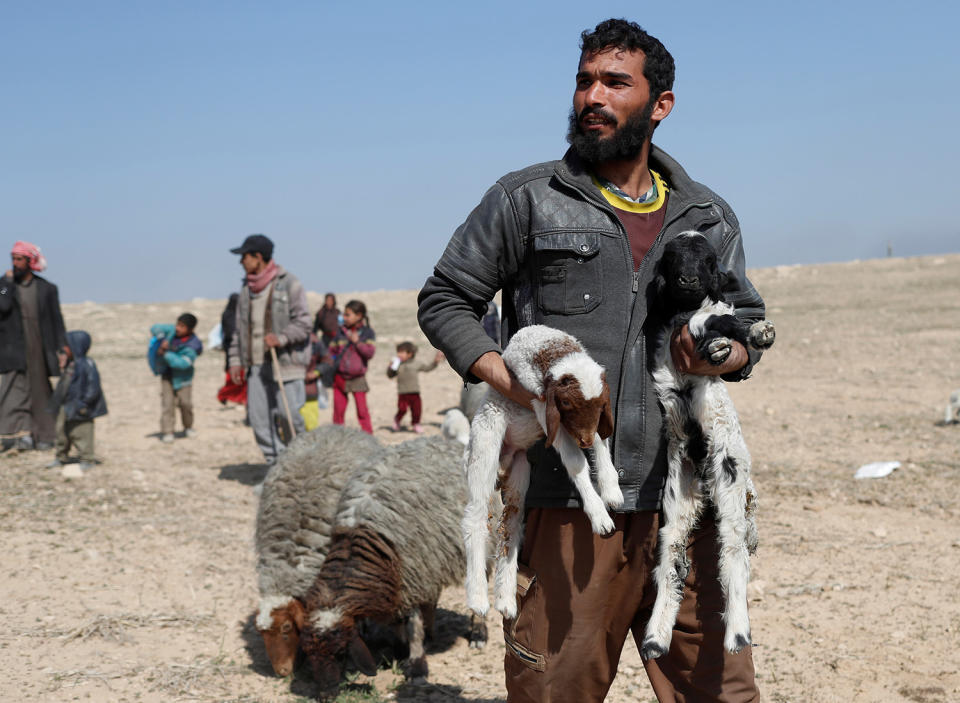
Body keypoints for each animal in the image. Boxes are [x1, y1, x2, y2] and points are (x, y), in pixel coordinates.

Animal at [300, 434, 484, 692]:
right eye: (309, 653)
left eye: (340, 653)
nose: (326, 692)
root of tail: (445, 440)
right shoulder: (406, 578)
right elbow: (399, 620)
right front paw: (400, 649)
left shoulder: (411, 576)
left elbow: (413, 627)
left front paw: (417, 667)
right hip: (430, 560)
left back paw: (479, 634)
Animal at [462, 324, 620, 616]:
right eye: (567, 404)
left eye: (601, 404)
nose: (584, 441)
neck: (551, 348)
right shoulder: (541, 404)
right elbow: (575, 461)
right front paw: (599, 516)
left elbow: (602, 440)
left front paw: (612, 489)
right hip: (484, 445)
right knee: (475, 516)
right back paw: (478, 598)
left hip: (520, 467)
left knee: (511, 524)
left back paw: (506, 600)